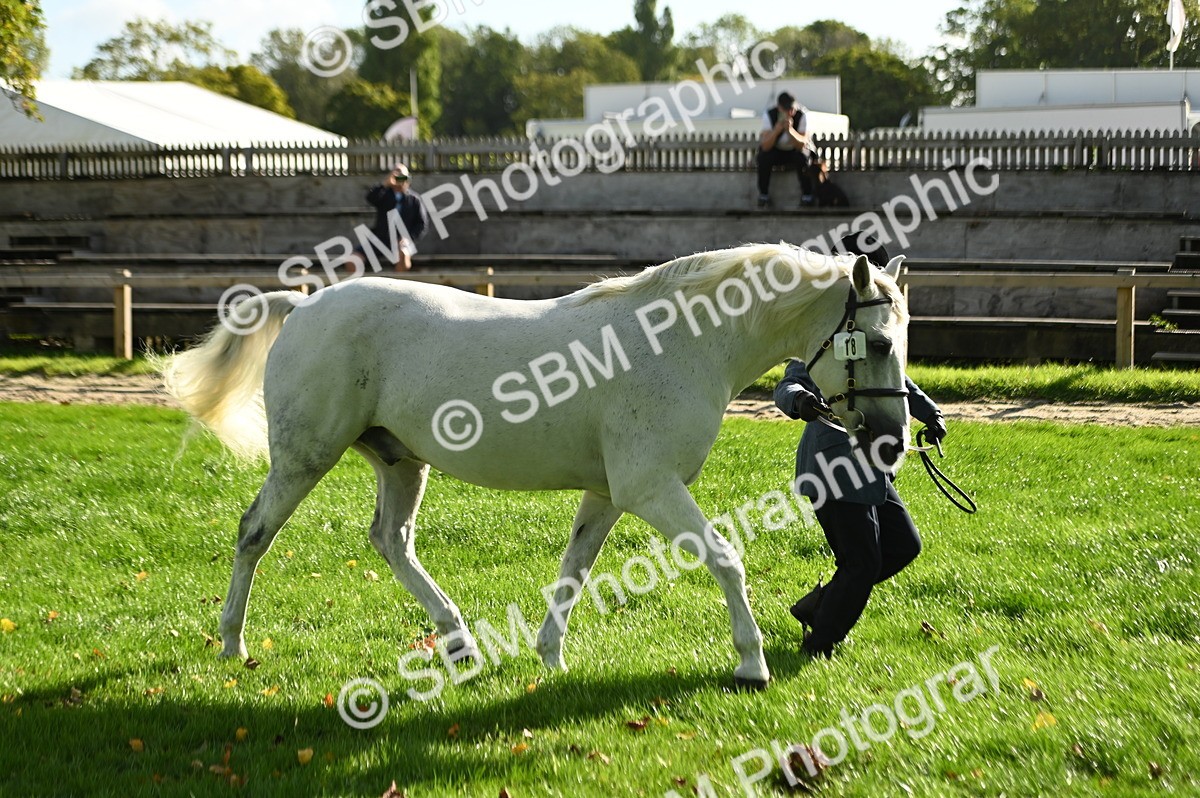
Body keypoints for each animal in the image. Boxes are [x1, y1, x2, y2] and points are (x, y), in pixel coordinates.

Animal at [162, 243, 911, 689]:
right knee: (253, 533)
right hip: (304, 458)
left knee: (390, 541)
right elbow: (726, 558)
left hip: (401, 462)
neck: (680, 343)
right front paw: (751, 662)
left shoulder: (609, 494)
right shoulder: (651, 487)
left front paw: (550, 656)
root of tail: (304, 306)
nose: (894, 440)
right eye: (877, 342)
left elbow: (574, 570)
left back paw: (460, 644)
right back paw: (232, 644)